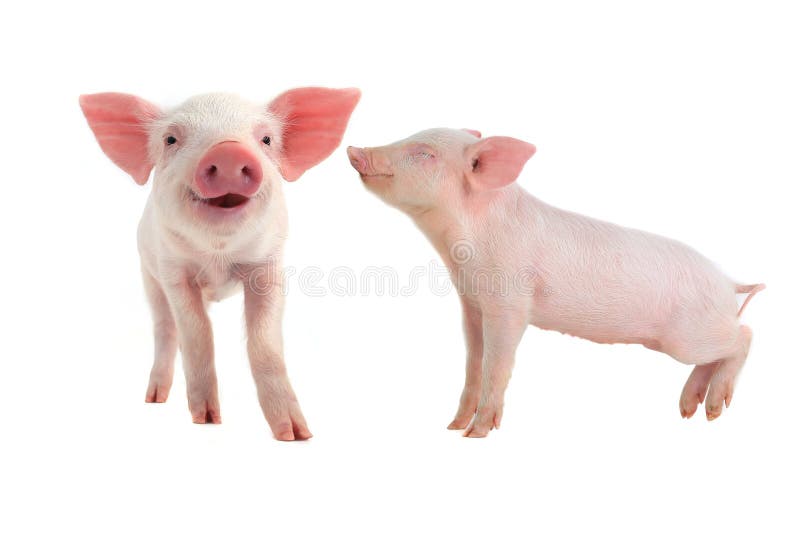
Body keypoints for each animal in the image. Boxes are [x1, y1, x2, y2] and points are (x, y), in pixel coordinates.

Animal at [80, 88, 360, 440]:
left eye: (266, 139)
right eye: (170, 139)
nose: (229, 152)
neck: (217, 255)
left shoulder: (268, 266)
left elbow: (264, 341)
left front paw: (296, 434)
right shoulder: (172, 271)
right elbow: (197, 332)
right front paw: (208, 420)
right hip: (148, 276)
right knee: (166, 328)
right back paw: (155, 399)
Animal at [347, 128, 763, 438]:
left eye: (425, 153)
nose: (354, 149)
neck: (459, 249)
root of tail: (728, 283)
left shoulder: (510, 302)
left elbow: (497, 363)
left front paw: (476, 433)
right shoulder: (472, 304)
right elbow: (473, 362)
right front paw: (453, 426)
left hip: (689, 335)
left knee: (744, 336)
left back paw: (713, 409)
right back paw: (689, 412)